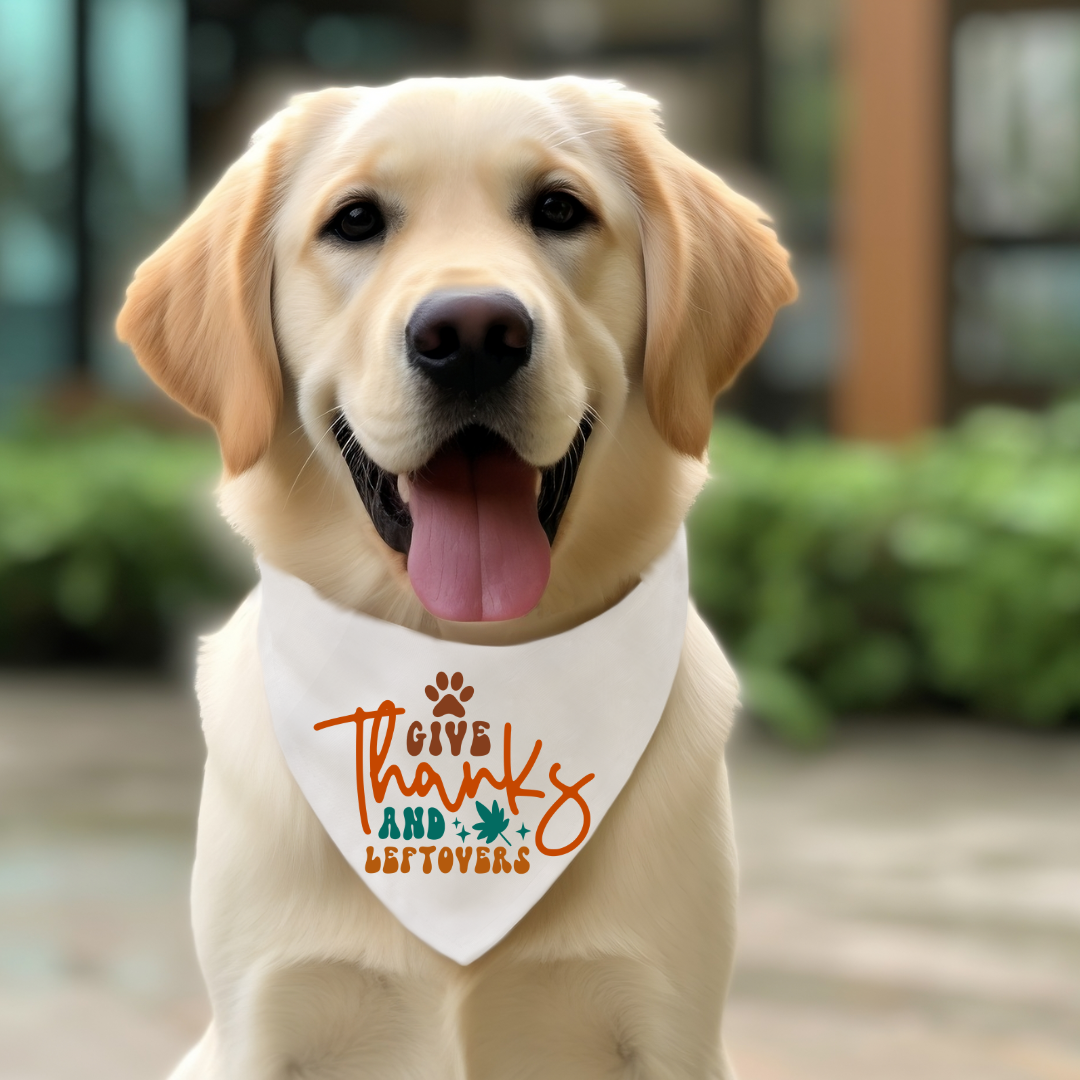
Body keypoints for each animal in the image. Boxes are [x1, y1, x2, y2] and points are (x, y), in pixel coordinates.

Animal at [116, 76, 794, 1080]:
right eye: (356, 221)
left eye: (559, 209)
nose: (472, 332)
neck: (472, 662)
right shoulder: (261, 1027)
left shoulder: (670, 1024)